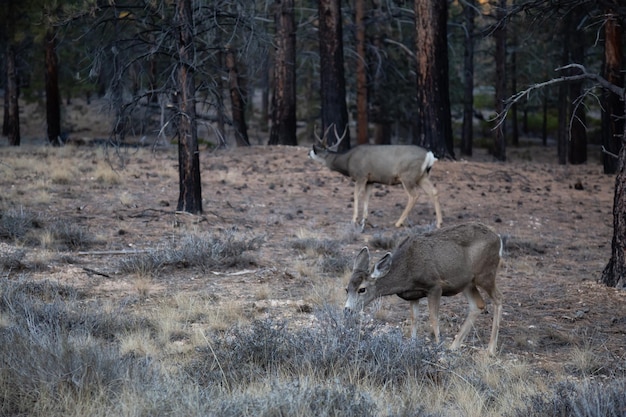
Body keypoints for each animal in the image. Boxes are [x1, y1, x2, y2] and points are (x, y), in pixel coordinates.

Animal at [344, 221, 500, 354]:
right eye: (347, 289)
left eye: (362, 289)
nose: (347, 310)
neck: (407, 270)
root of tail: (497, 238)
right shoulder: (413, 295)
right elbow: (414, 319)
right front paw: (412, 344)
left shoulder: (435, 286)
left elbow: (434, 318)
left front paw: (438, 347)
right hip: (467, 283)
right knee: (478, 305)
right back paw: (454, 346)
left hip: (486, 273)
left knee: (498, 299)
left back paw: (491, 349)